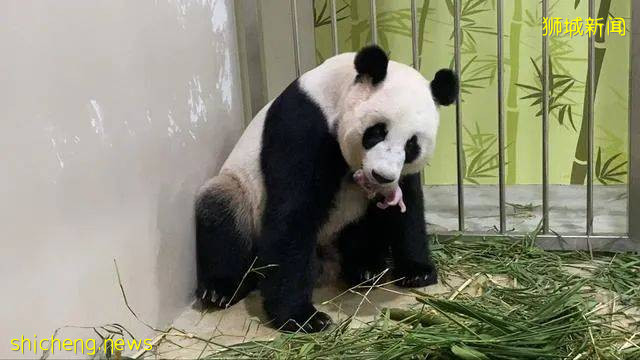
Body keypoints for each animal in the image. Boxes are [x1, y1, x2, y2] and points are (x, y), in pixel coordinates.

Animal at [194, 46, 456, 334]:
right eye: (377, 132)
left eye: (412, 145)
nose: (382, 176)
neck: (336, 92)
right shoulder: (303, 125)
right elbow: (293, 212)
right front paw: (301, 317)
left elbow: (407, 207)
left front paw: (417, 271)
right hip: (241, 192)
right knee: (222, 212)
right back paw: (222, 289)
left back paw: (365, 267)